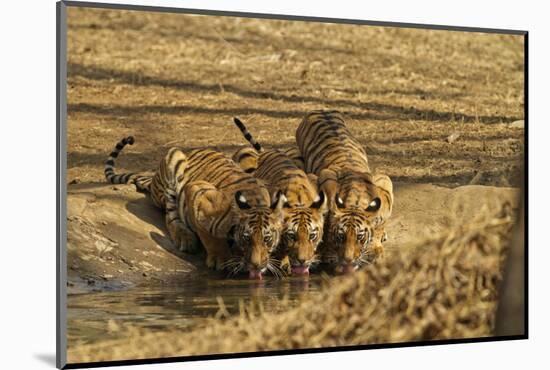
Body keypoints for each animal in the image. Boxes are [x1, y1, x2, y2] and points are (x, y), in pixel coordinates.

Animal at [103, 137, 286, 278]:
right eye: (247, 238)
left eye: (267, 239)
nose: (256, 266)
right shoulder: (197, 192)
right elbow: (208, 236)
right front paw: (220, 258)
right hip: (173, 160)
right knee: (170, 215)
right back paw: (184, 238)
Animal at [230, 118, 326, 274]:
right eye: (292, 236)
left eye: (312, 235)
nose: (303, 261)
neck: (299, 201)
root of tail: (269, 152)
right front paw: (284, 262)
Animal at [300, 110, 394, 272]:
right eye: (341, 236)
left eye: (360, 237)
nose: (348, 260)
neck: (355, 202)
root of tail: (321, 110)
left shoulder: (385, 183)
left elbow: (379, 226)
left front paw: (376, 249)